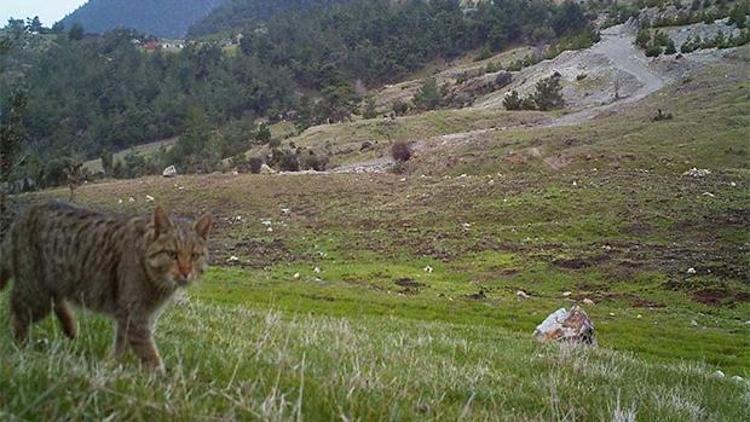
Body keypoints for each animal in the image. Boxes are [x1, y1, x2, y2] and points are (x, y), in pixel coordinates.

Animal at [0, 202, 212, 372]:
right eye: (172, 254)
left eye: (194, 256)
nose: (185, 272)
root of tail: (21, 217)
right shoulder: (135, 318)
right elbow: (150, 355)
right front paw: (162, 380)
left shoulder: (130, 318)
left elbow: (120, 346)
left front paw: (111, 365)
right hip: (35, 292)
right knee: (17, 314)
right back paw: (22, 350)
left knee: (55, 301)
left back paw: (71, 328)